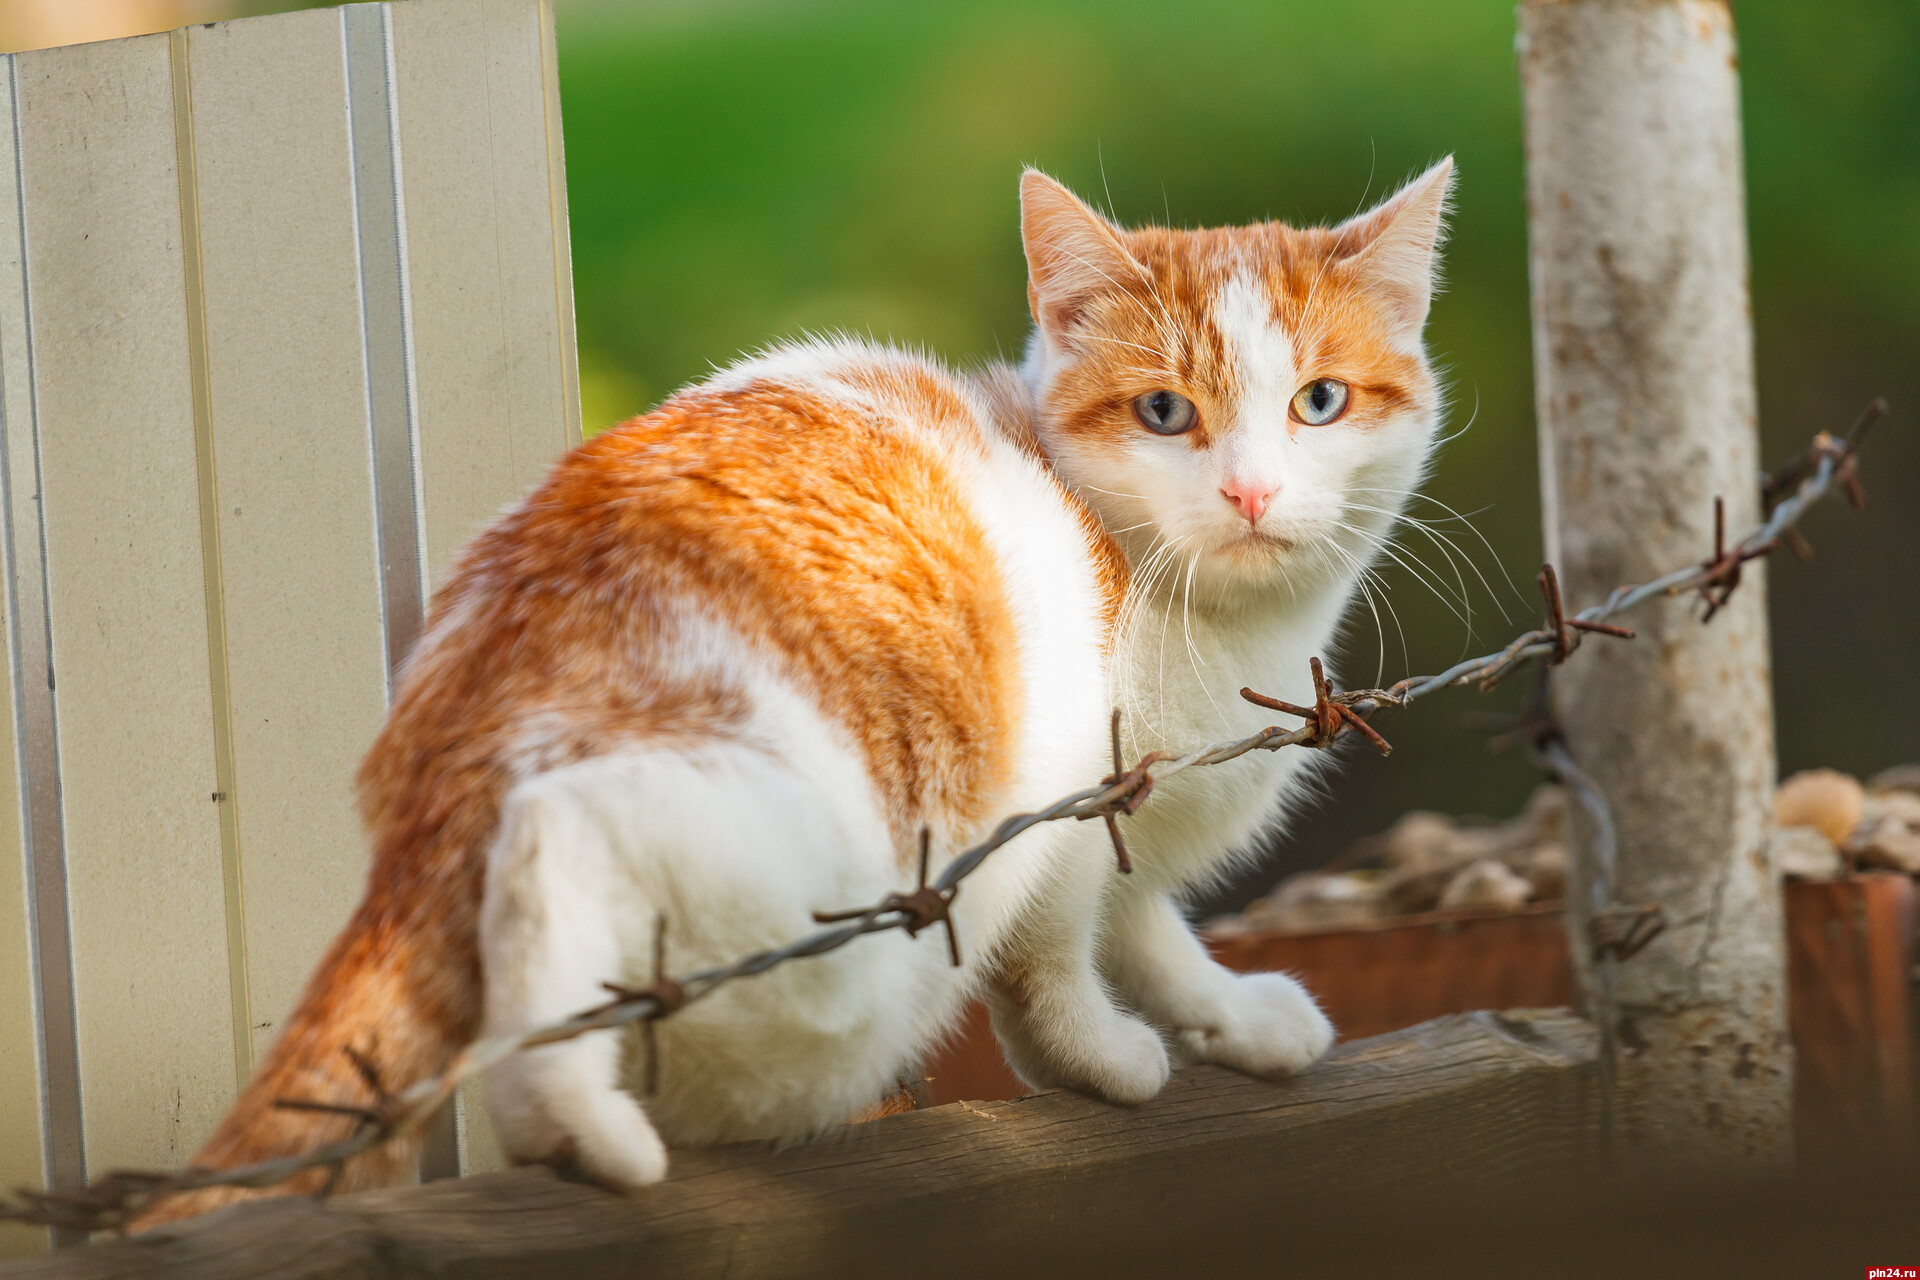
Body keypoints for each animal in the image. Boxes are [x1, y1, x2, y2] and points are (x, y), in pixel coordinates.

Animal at [139, 160, 1451, 1220]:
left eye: (1319, 401)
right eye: (1165, 411)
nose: (1250, 493)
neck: (1217, 626)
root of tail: (468, 685)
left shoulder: (1127, 826)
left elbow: (1144, 925)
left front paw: (1229, 1014)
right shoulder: (1076, 797)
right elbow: (1060, 947)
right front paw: (1094, 1052)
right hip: (808, 881)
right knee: (567, 835)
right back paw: (578, 1123)